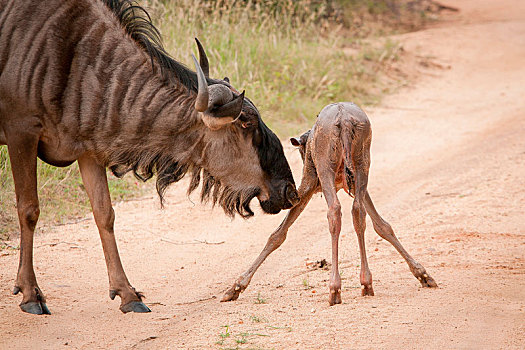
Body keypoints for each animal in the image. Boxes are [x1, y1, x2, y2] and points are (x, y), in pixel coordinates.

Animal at [222, 102, 438, 304]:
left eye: (302, 152)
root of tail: (344, 120)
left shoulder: (310, 182)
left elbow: (278, 234)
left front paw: (236, 286)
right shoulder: (352, 184)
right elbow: (382, 225)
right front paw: (422, 274)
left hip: (325, 168)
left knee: (334, 211)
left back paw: (335, 288)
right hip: (362, 164)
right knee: (358, 211)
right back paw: (366, 283)